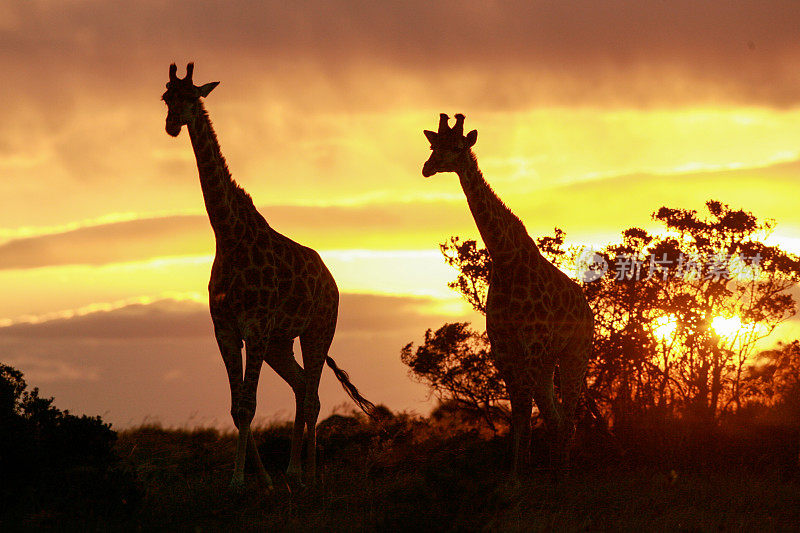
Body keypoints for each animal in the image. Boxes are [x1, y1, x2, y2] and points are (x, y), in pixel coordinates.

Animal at [422, 112, 592, 474]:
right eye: (432, 145)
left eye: (457, 147)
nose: (428, 168)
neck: (505, 259)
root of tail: (588, 310)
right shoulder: (504, 348)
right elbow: (518, 412)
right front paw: (514, 473)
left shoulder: (531, 345)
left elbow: (529, 411)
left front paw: (523, 474)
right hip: (548, 360)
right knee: (557, 416)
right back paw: (554, 470)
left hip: (575, 353)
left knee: (568, 416)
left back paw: (563, 473)